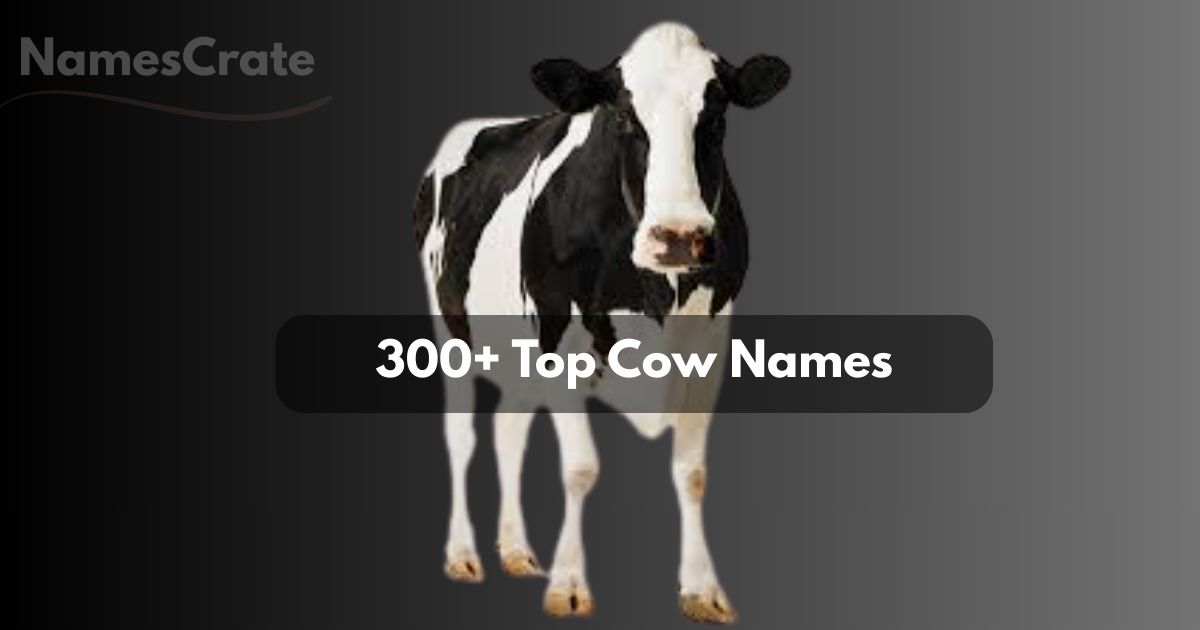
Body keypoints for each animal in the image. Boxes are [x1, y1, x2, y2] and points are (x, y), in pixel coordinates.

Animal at [412, 22, 789, 623]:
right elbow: (580, 468)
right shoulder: (560, 342)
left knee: (508, 430)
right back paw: (462, 554)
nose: (679, 237)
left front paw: (701, 590)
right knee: (460, 436)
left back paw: (514, 551)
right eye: (622, 118)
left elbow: (692, 473)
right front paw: (568, 585)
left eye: (716, 117)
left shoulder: (711, 343)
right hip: (449, 331)